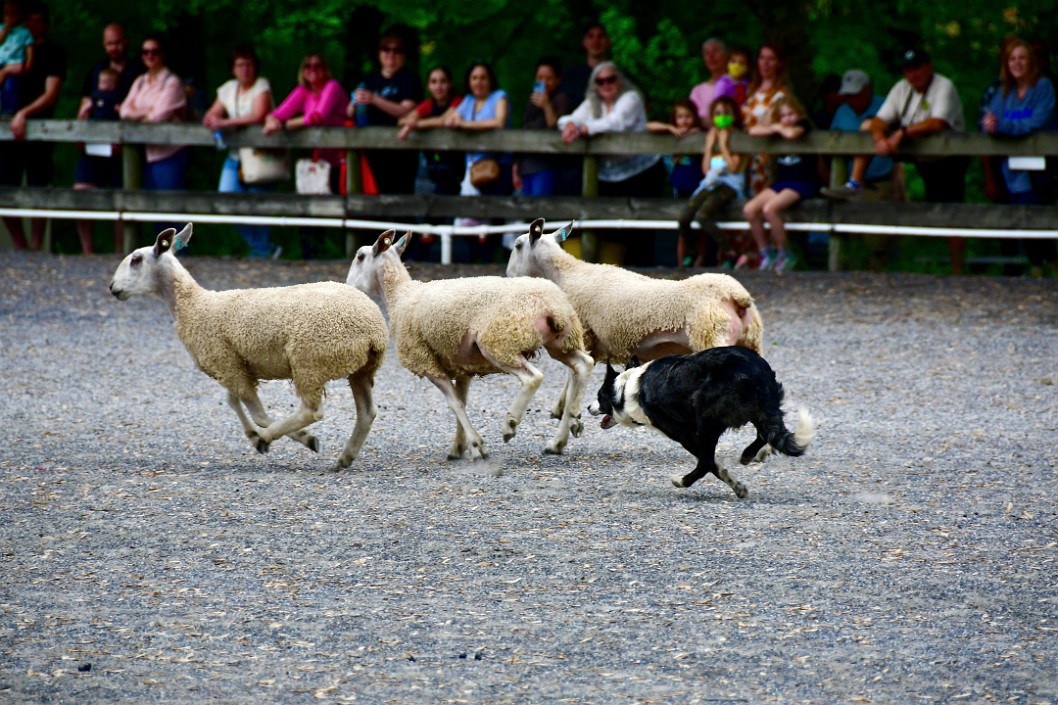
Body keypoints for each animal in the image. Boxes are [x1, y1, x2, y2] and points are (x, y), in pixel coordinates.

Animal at [108, 222, 389, 470]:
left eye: (136, 260)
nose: (112, 288)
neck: (194, 306)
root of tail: (373, 328)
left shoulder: (227, 363)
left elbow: (259, 415)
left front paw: (281, 438)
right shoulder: (234, 366)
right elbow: (232, 401)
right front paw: (254, 436)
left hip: (310, 360)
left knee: (312, 411)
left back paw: (275, 437)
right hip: (360, 368)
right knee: (367, 412)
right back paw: (346, 457)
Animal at [347, 230, 596, 459]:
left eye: (359, 256)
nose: (348, 285)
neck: (400, 295)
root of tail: (552, 306)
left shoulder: (425, 360)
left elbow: (454, 404)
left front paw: (477, 446)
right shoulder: (460, 364)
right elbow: (462, 402)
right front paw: (459, 446)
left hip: (500, 343)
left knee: (533, 378)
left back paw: (511, 423)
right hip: (562, 341)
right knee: (584, 364)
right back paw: (567, 428)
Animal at [507, 217, 765, 417]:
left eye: (517, 245)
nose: (508, 275)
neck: (566, 275)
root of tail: (737, 295)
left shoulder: (584, 336)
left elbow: (573, 375)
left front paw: (564, 409)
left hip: (712, 337)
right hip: (750, 340)